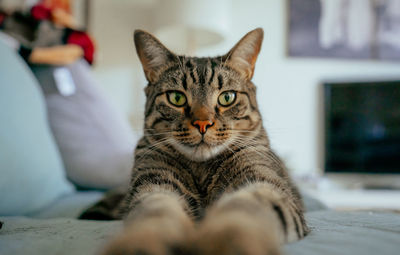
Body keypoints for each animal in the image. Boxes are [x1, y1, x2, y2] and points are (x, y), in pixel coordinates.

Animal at [81, 27, 308, 255]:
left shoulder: (262, 182)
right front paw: (142, 242)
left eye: (227, 97)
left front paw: (226, 241)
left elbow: (244, 213)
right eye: (176, 98)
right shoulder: (154, 184)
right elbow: (155, 212)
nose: (202, 123)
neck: (201, 172)